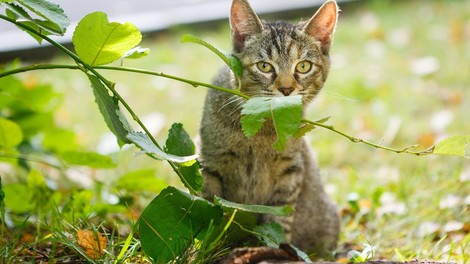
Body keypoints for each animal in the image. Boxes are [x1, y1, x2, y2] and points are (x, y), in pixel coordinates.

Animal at [200, 0, 340, 254]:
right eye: (264, 66)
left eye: (303, 66)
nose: (286, 89)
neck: (262, 126)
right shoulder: (210, 164)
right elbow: (208, 209)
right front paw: (203, 247)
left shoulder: (290, 172)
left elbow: (278, 219)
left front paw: (273, 250)